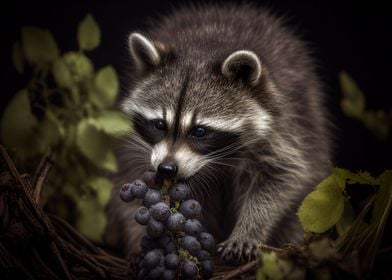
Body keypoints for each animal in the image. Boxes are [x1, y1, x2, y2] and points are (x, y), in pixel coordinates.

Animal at [105, 3, 332, 264]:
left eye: (200, 131)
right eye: (160, 124)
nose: (166, 169)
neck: (204, 47)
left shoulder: (287, 125)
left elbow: (281, 178)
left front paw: (249, 229)